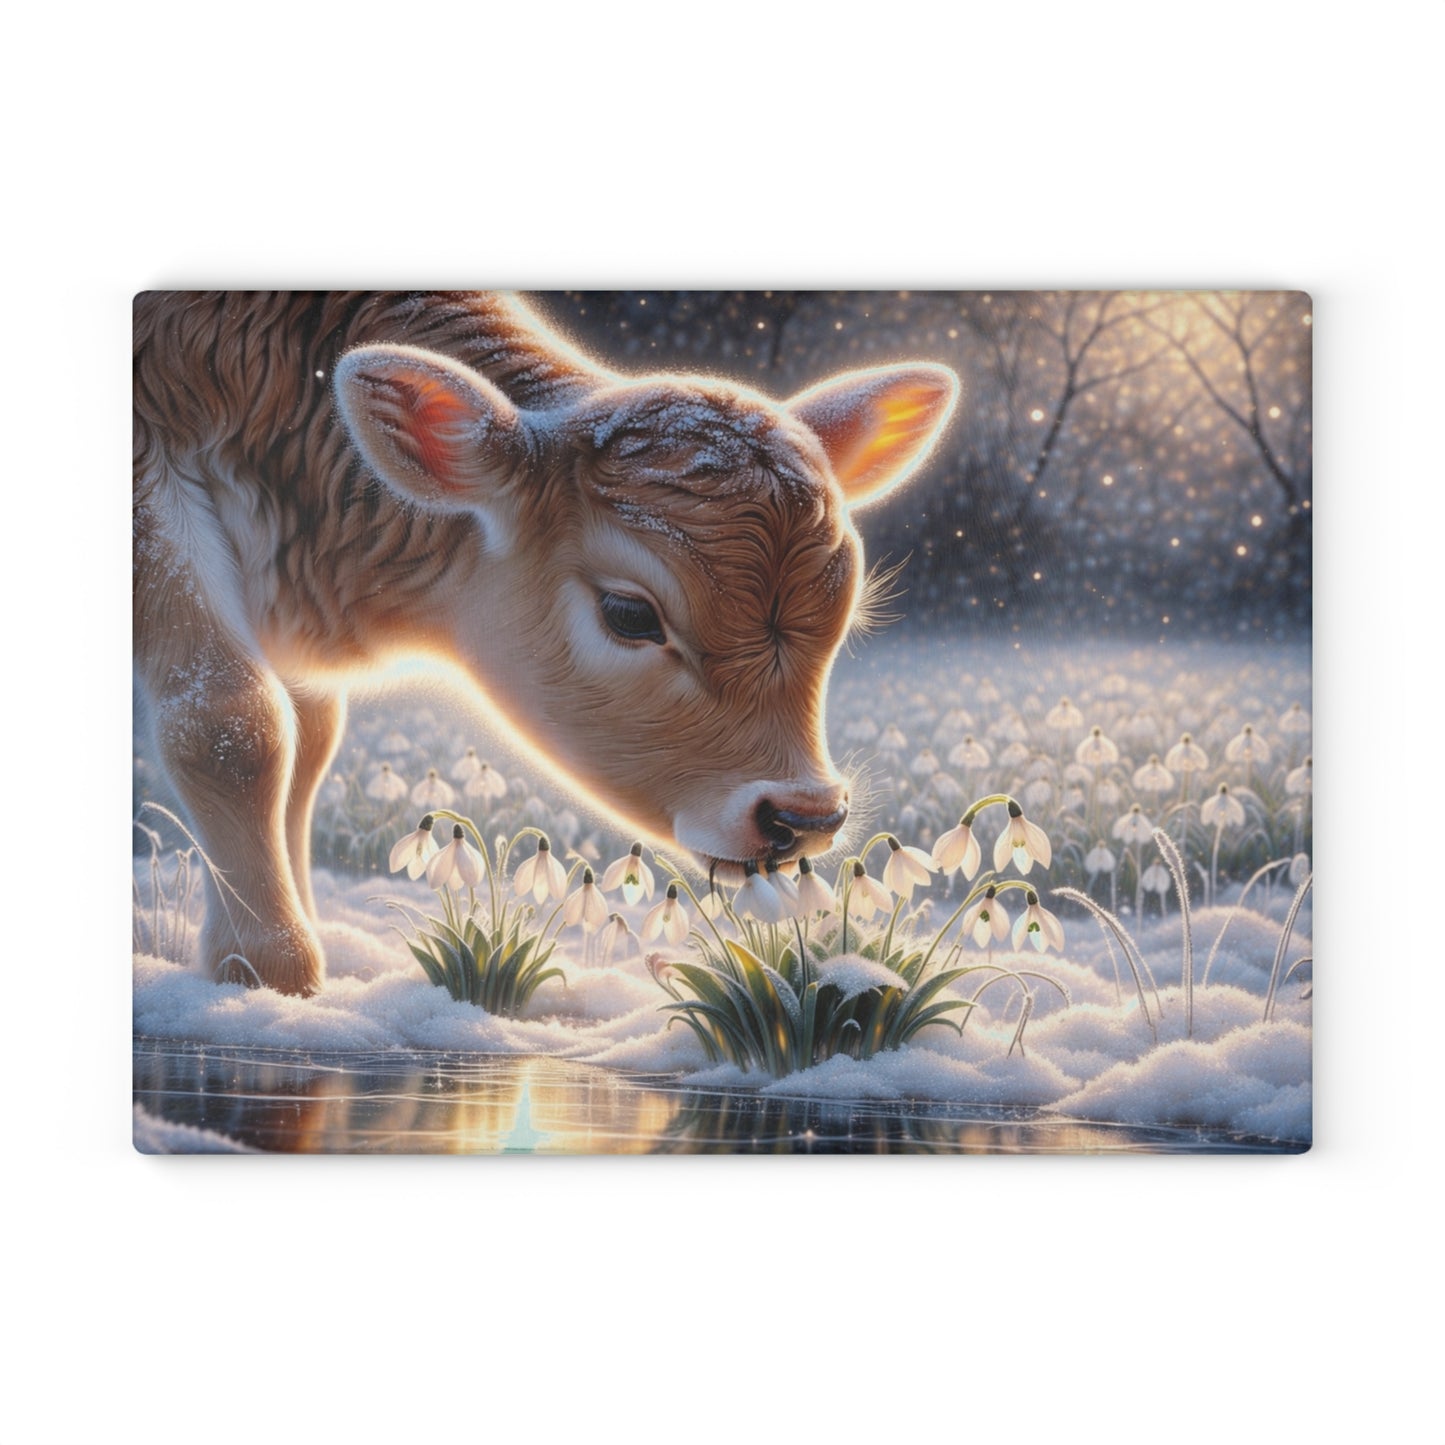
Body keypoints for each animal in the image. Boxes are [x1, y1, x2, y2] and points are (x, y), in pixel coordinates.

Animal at [133, 292, 959, 995]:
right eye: (629, 613)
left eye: (844, 609)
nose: (805, 815)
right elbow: (231, 725)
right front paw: (273, 968)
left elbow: (306, 748)